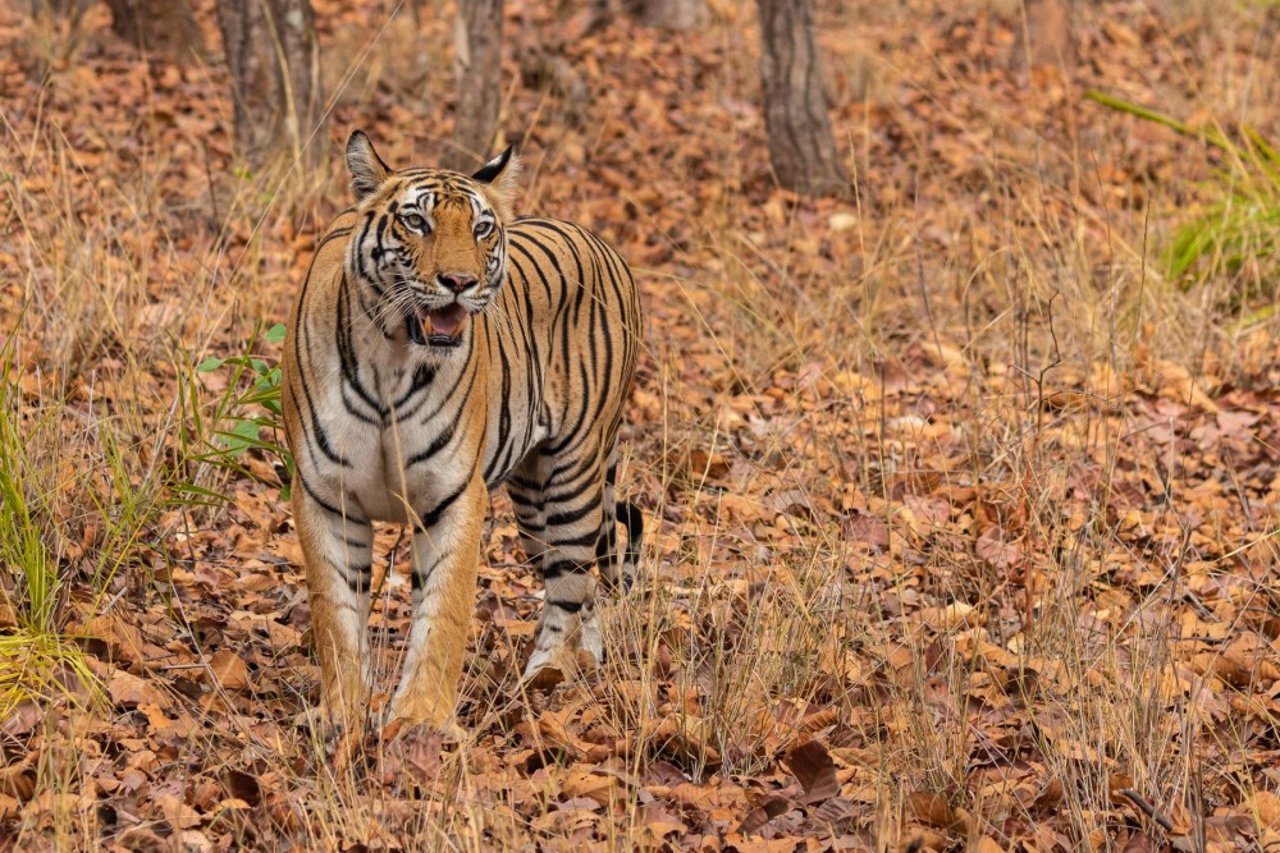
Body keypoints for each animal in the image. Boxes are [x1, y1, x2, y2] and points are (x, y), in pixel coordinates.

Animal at [280, 131, 640, 732]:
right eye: (416, 222)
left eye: (481, 228)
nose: (459, 282)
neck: (392, 356)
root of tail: (603, 243)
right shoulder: (326, 494)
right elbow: (336, 615)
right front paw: (342, 713)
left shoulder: (453, 495)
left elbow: (443, 613)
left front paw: (421, 720)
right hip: (531, 499)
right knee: (584, 580)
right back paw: (583, 662)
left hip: (574, 475)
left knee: (570, 585)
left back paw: (544, 680)